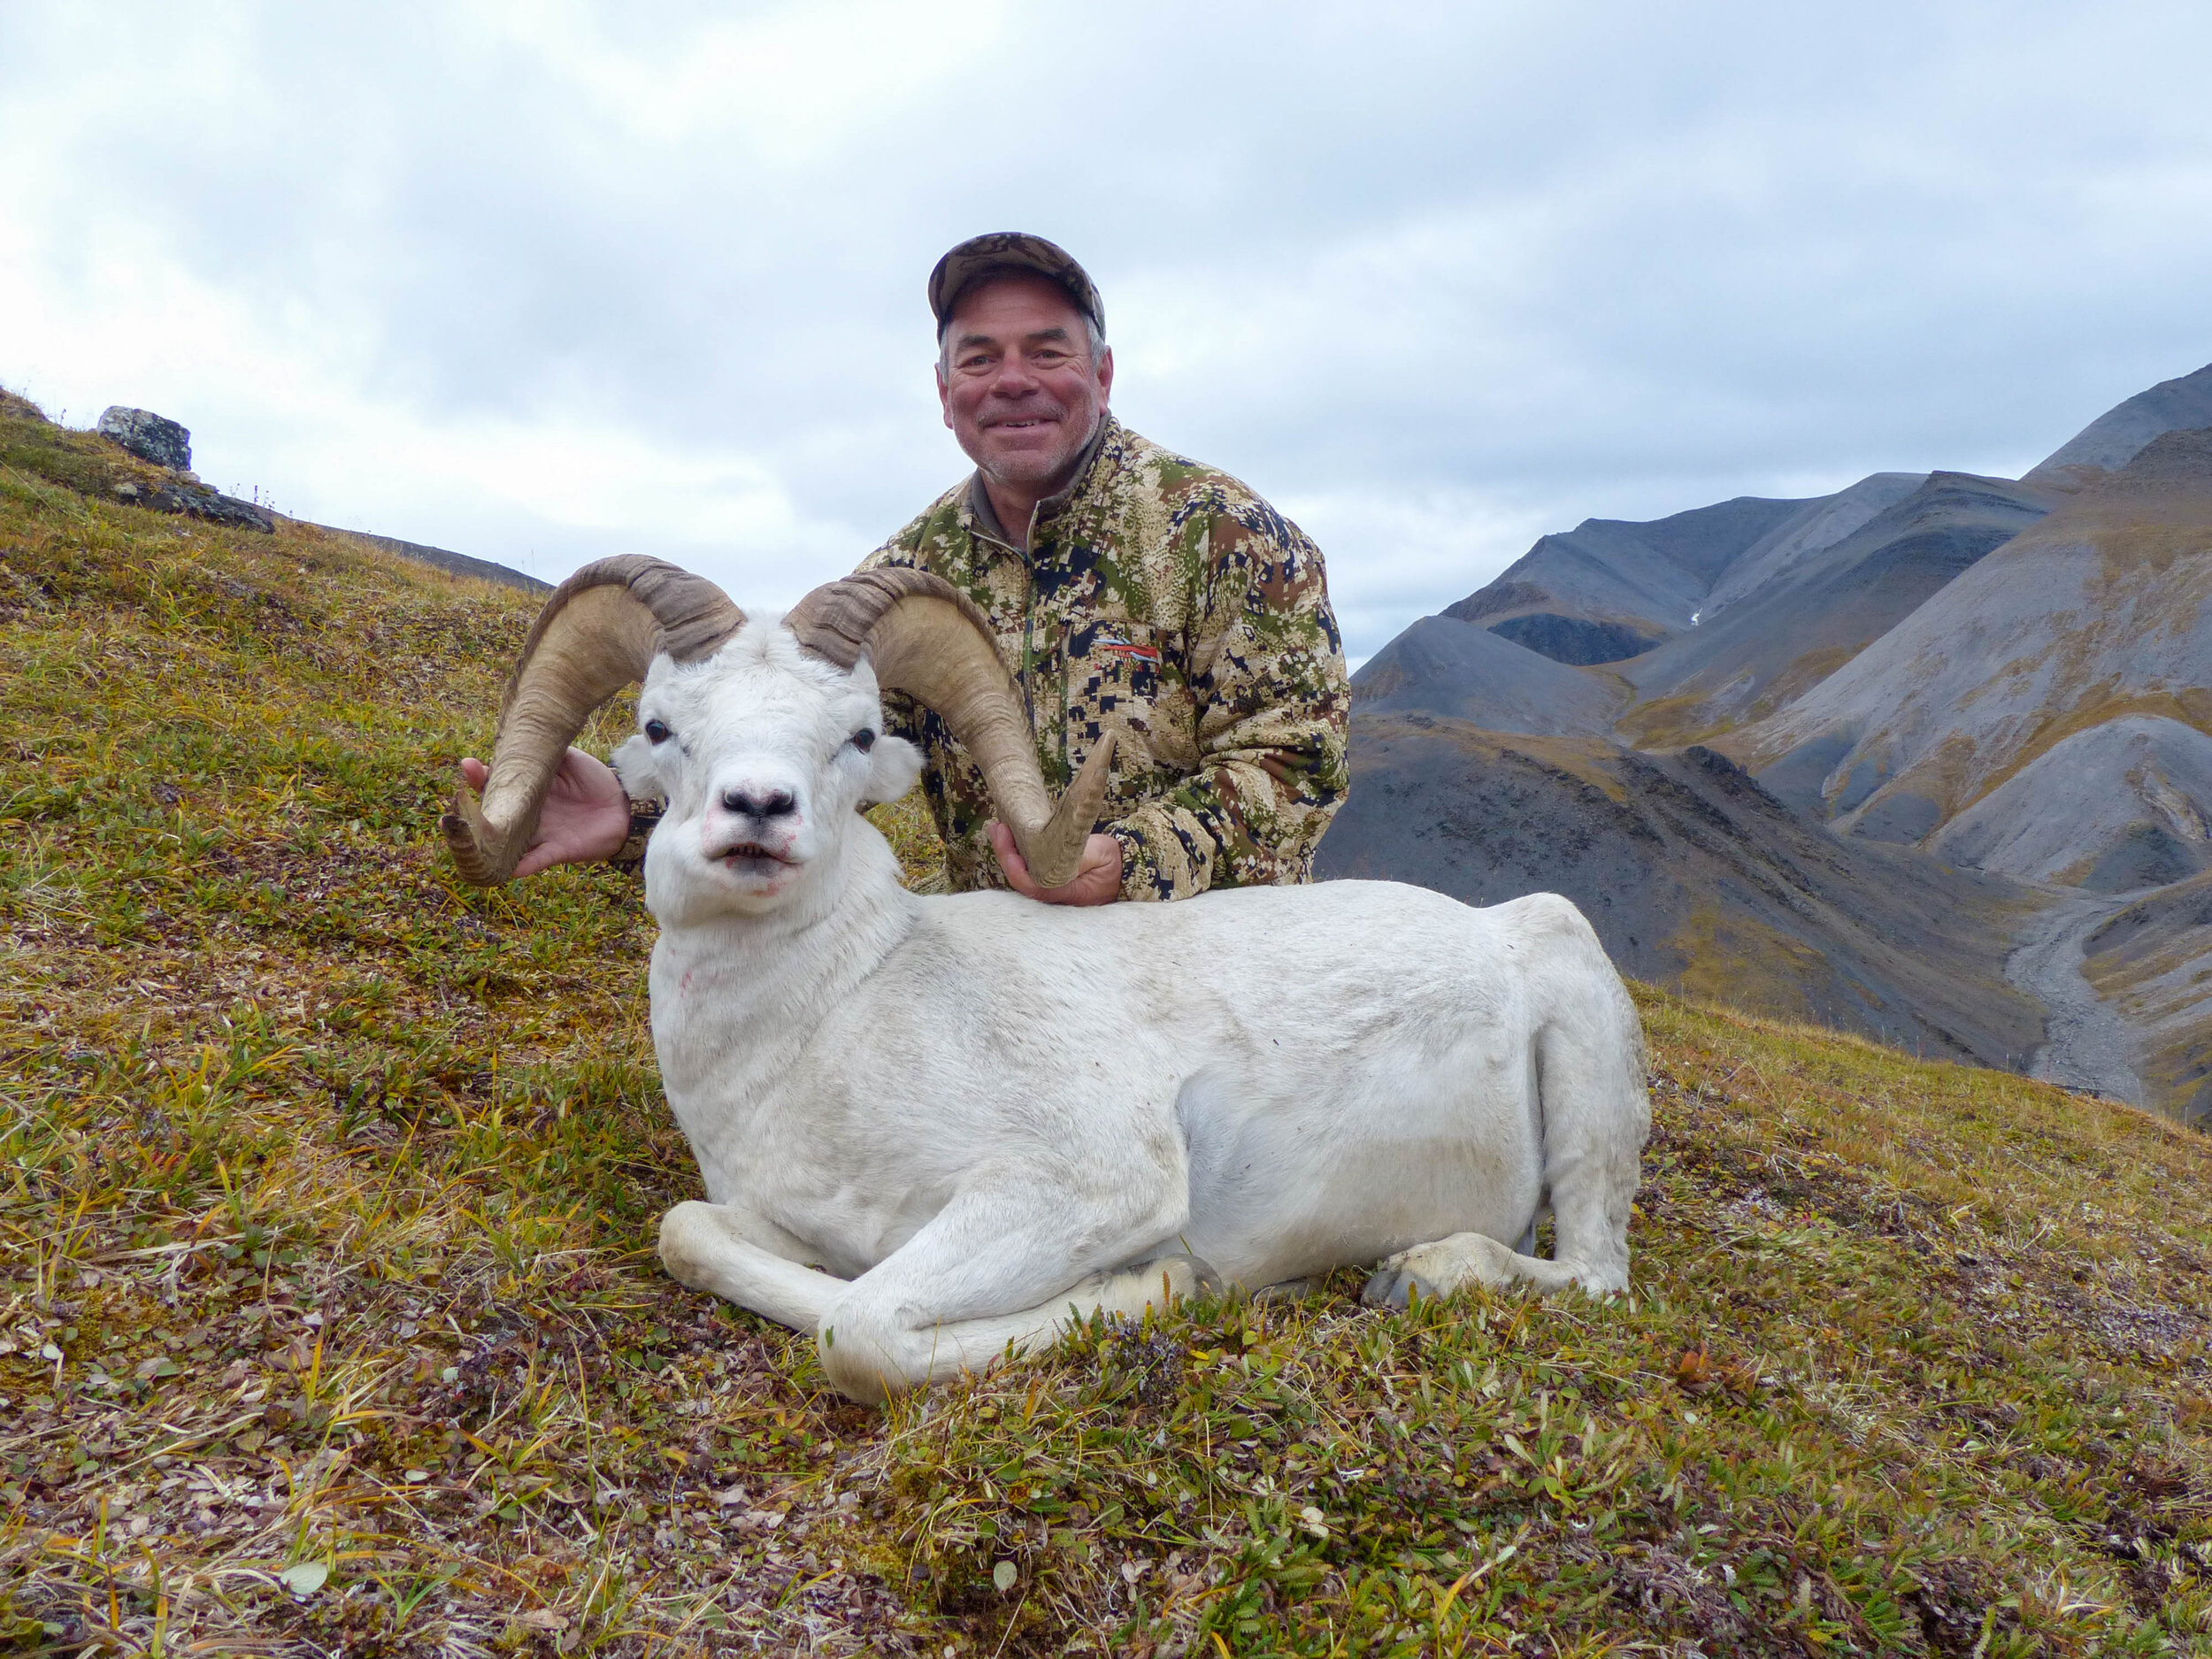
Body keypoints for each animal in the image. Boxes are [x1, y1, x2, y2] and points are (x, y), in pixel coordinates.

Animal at [444, 559, 1646, 1407]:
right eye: (660, 728)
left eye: (858, 734)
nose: (756, 811)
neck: (832, 1022)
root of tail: (1504, 929)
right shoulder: (780, 1220)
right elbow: (693, 1235)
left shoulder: (1081, 1187)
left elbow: (861, 1331)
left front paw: (1159, 1286)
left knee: (1594, 1274)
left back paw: (1422, 1272)